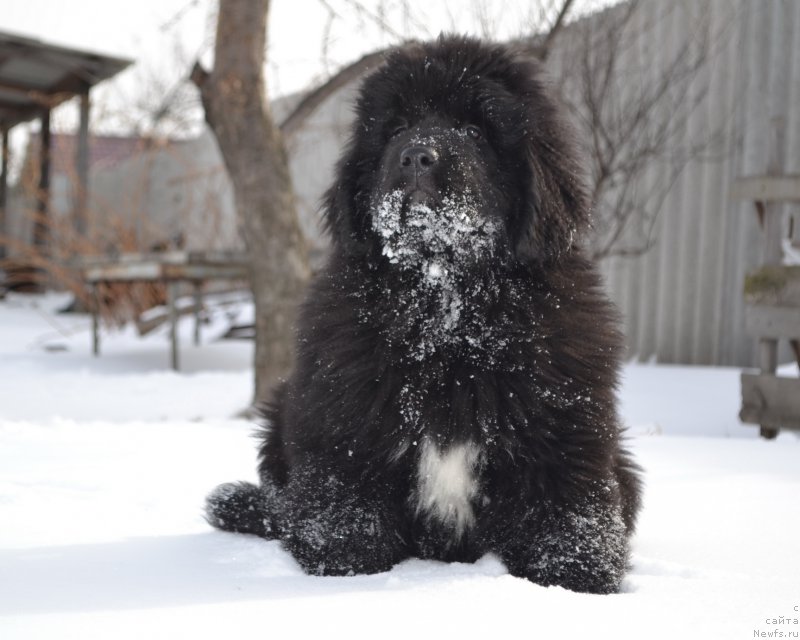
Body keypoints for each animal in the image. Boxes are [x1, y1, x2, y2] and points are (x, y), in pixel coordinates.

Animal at [208, 35, 644, 596]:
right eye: (396, 128)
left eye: (475, 130)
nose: (417, 155)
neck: (447, 308)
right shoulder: (345, 421)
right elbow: (346, 506)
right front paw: (343, 569)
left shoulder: (564, 426)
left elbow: (565, 509)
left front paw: (574, 582)